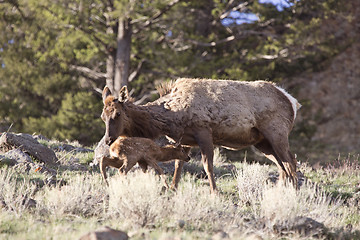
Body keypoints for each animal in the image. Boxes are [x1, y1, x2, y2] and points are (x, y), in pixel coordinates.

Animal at [101, 79, 300, 193]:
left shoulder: (204, 132)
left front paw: (214, 192)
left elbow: (207, 165)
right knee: (282, 165)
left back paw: (295, 190)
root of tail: (292, 102)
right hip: (262, 142)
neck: (171, 120)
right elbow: (178, 164)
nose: (109, 140)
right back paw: (282, 190)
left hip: (277, 132)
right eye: (102, 116)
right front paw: (172, 188)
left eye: (117, 114)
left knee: (291, 161)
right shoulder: (183, 140)